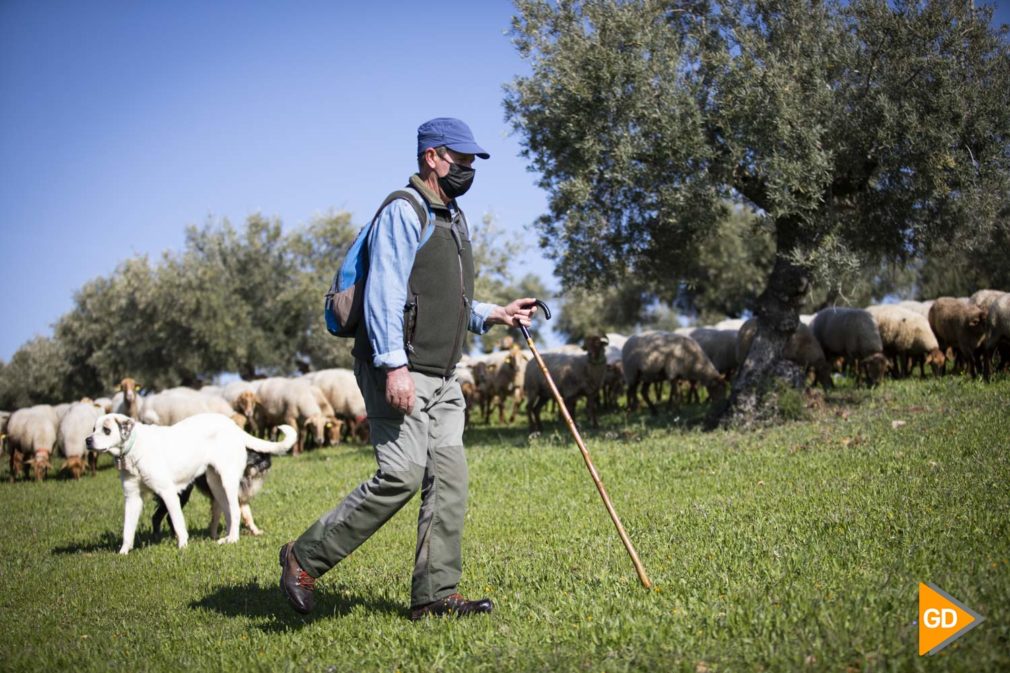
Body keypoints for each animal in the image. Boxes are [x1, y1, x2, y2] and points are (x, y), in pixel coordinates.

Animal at [86, 412, 294, 553]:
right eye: (93, 429)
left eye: (107, 430)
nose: (87, 440)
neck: (135, 448)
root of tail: (233, 426)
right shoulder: (132, 498)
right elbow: (127, 530)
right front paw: (123, 553)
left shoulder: (168, 492)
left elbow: (178, 523)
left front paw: (183, 547)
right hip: (215, 484)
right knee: (227, 512)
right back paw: (226, 539)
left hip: (226, 482)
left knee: (234, 511)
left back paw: (233, 540)